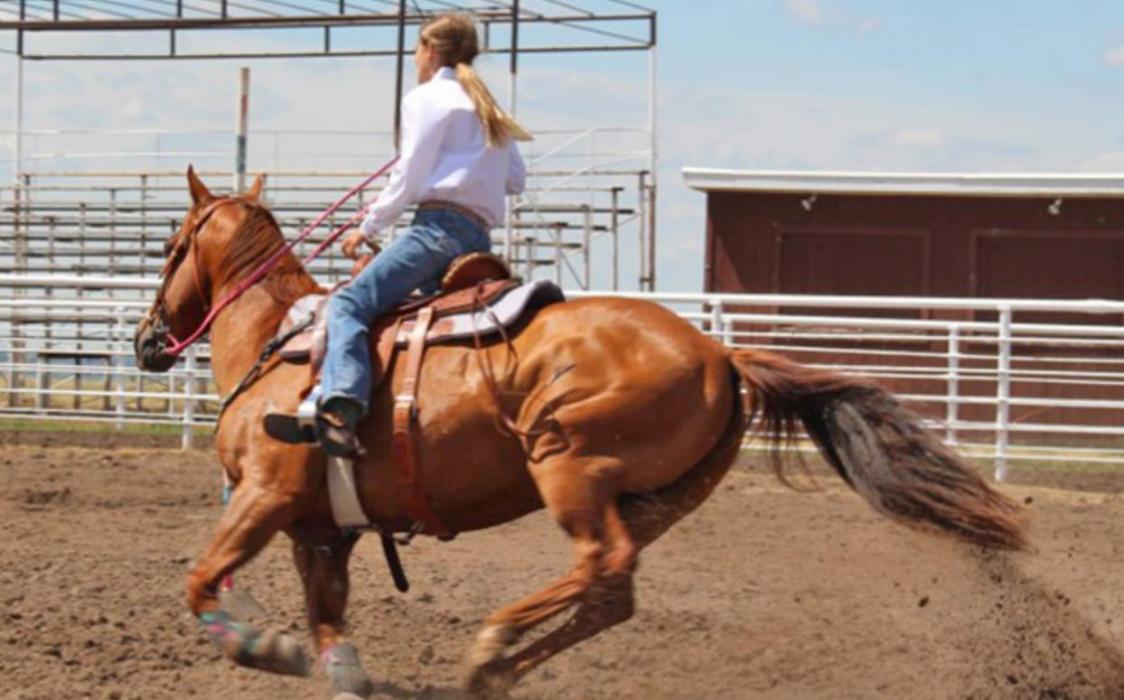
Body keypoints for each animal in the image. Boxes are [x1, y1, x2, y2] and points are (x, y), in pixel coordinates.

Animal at [133, 167, 1027, 699]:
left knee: (602, 563)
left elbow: (201, 580)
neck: (280, 341)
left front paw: (261, 643)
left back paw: (493, 642)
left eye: (169, 245)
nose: (146, 341)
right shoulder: (321, 529)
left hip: (570, 464)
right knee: (612, 591)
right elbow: (328, 622)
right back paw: (495, 667)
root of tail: (721, 352)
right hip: (658, 497)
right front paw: (324, 662)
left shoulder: (266, 496)